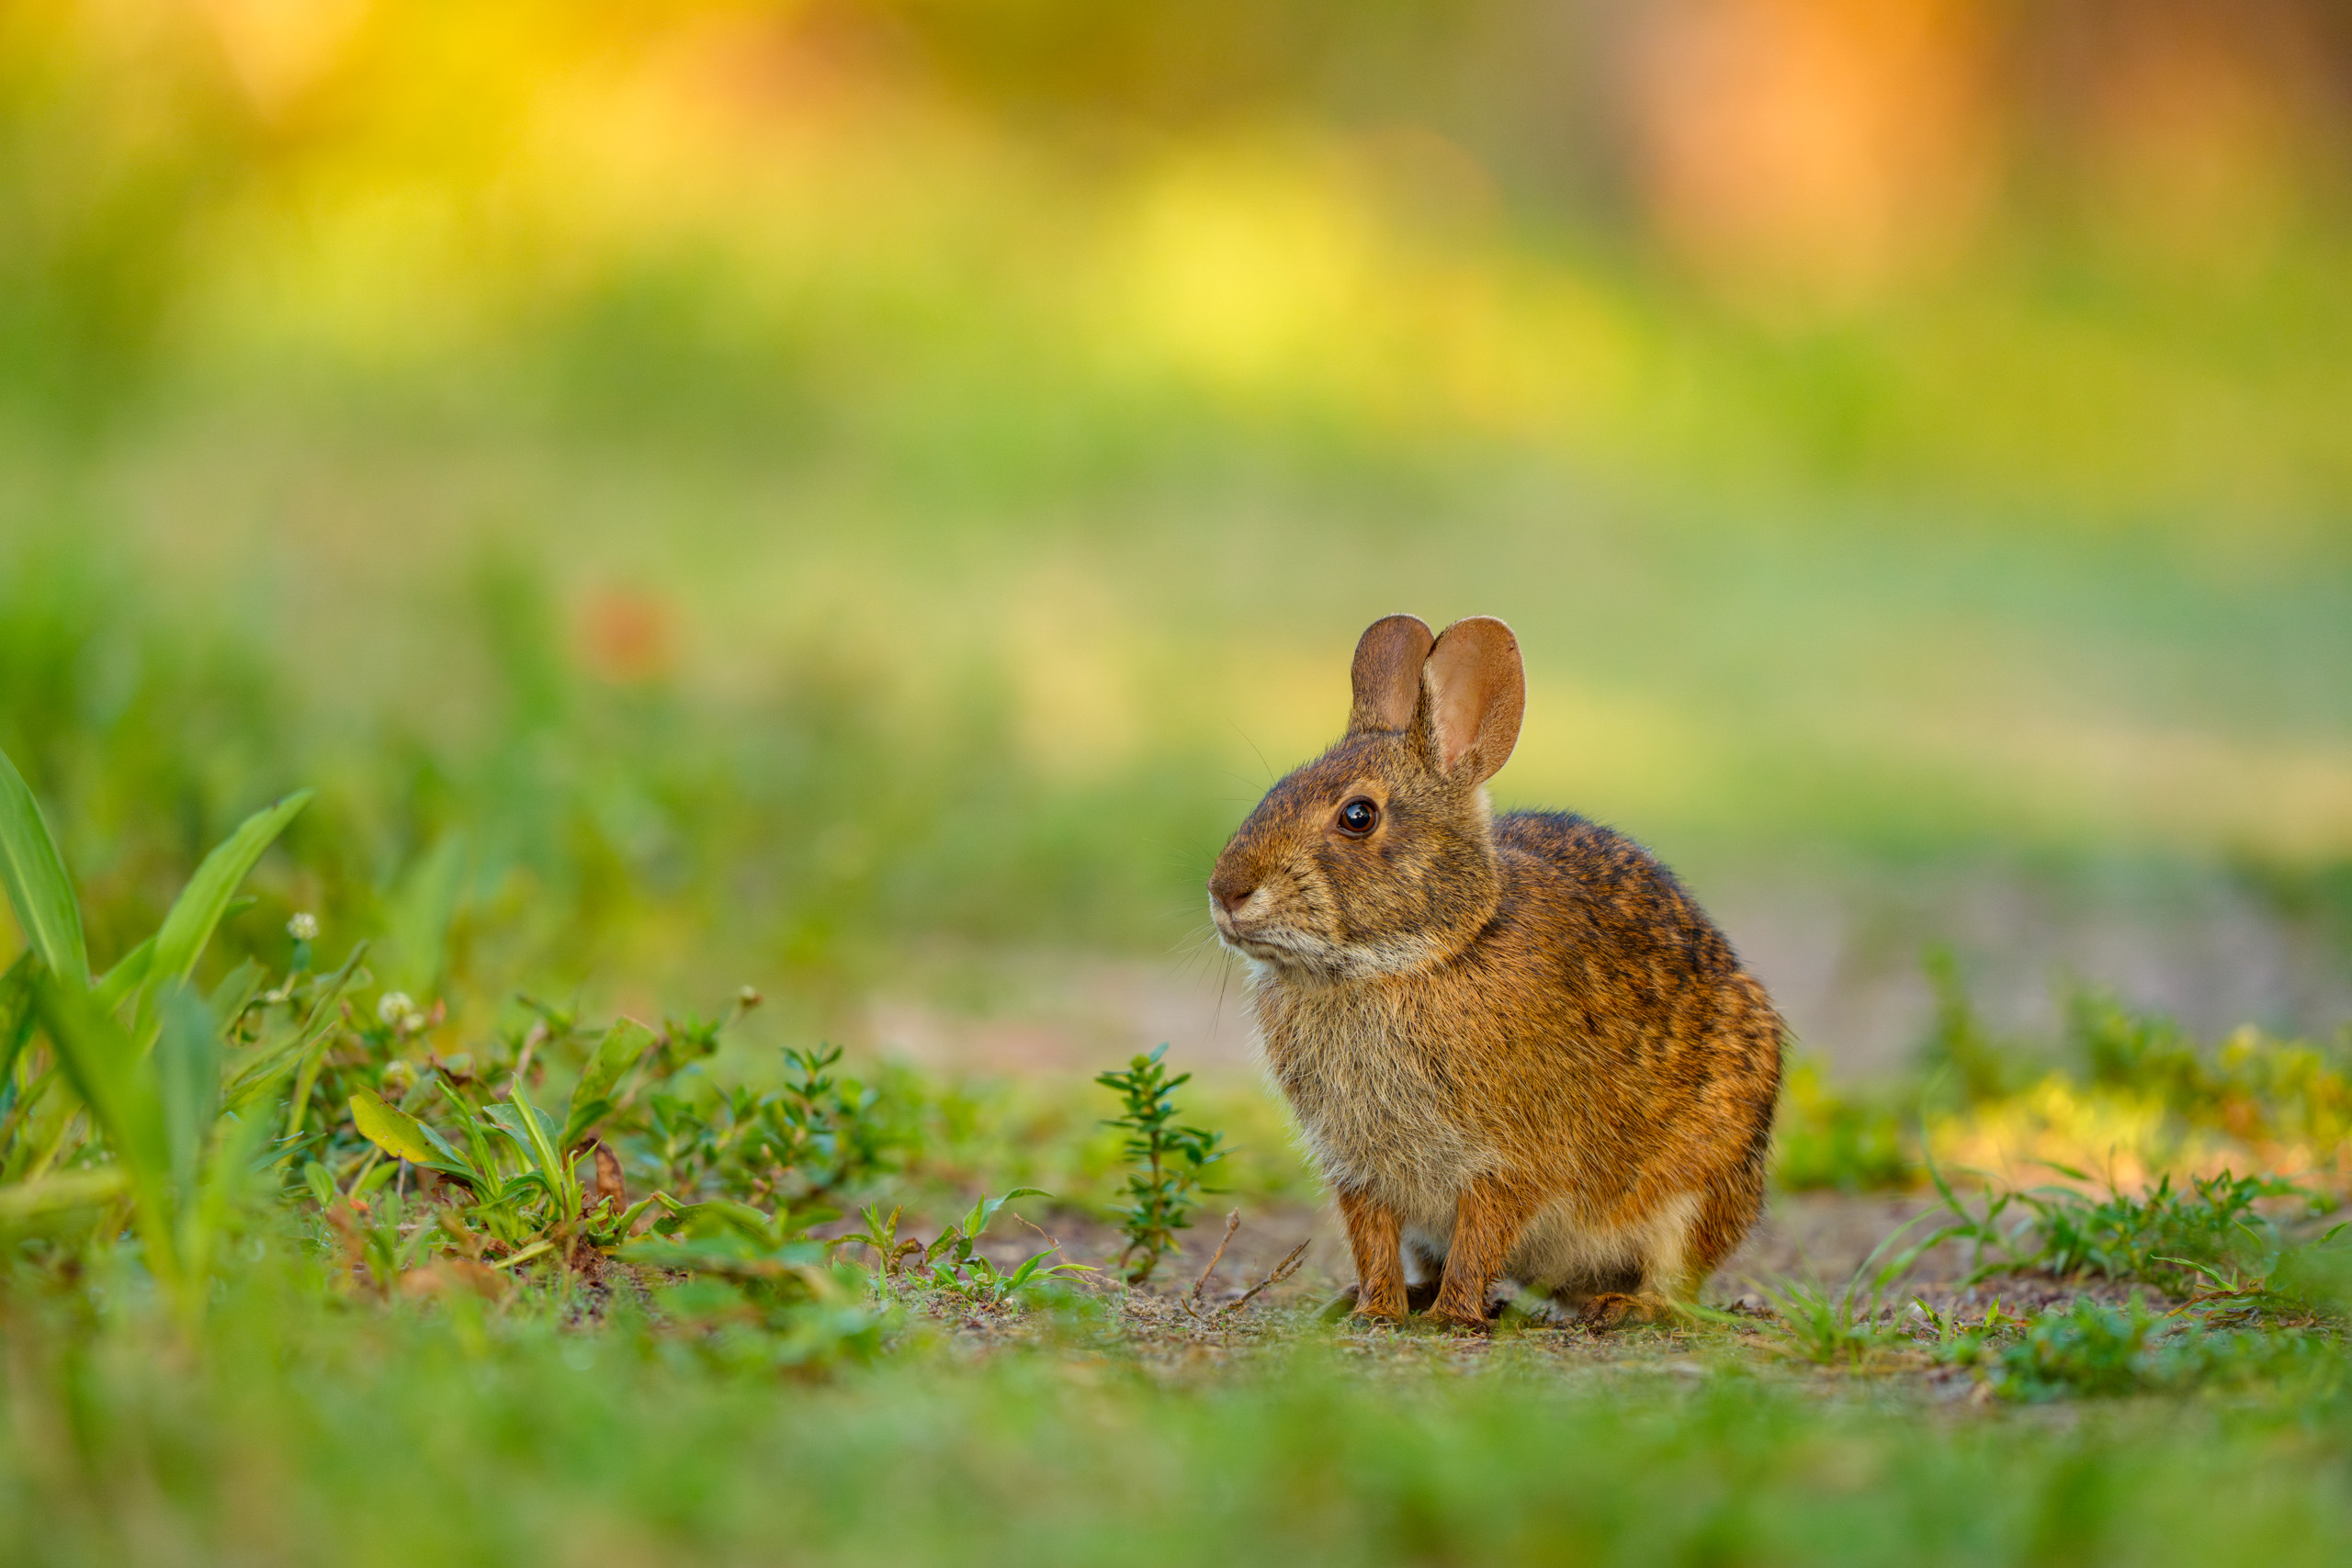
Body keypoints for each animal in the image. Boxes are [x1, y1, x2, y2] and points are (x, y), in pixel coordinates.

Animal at [1207, 613, 1782, 1329]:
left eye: (1358, 815)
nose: (1226, 892)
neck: (1415, 957)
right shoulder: (1359, 1168)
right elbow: (1373, 1238)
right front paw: (1377, 1310)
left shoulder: (1511, 1157)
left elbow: (1482, 1232)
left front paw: (1452, 1317)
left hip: (1701, 1182)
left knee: (1675, 1279)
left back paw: (1621, 1306)